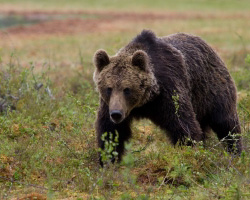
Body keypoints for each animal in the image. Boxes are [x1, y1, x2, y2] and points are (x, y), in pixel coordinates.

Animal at [93, 29, 241, 166]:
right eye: (109, 88)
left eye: (127, 89)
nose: (116, 114)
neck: (147, 101)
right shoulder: (109, 104)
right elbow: (110, 131)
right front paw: (107, 161)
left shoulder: (169, 90)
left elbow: (183, 125)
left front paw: (188, 154)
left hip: (213, 90)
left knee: (226, 123)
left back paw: (236, 153)